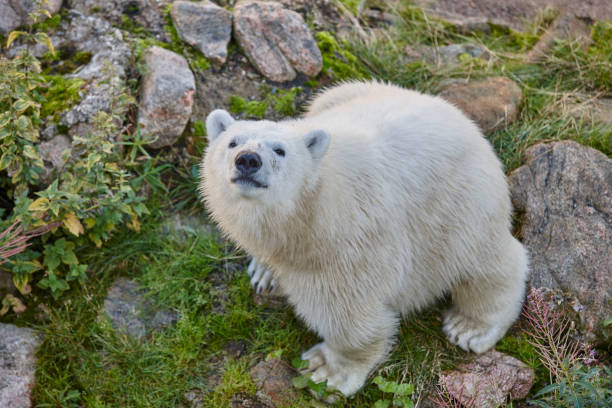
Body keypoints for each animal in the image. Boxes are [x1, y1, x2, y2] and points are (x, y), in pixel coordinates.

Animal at [198, 80, 528, 398]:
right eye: (232, 142)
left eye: (280, 151)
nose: (248, 160)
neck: (306, 211)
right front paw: (265, 269)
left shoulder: (352, 236)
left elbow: (348, 308)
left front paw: (326, 371)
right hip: (339, 92)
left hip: (460, 205)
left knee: (484, 261)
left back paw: (470, 327)